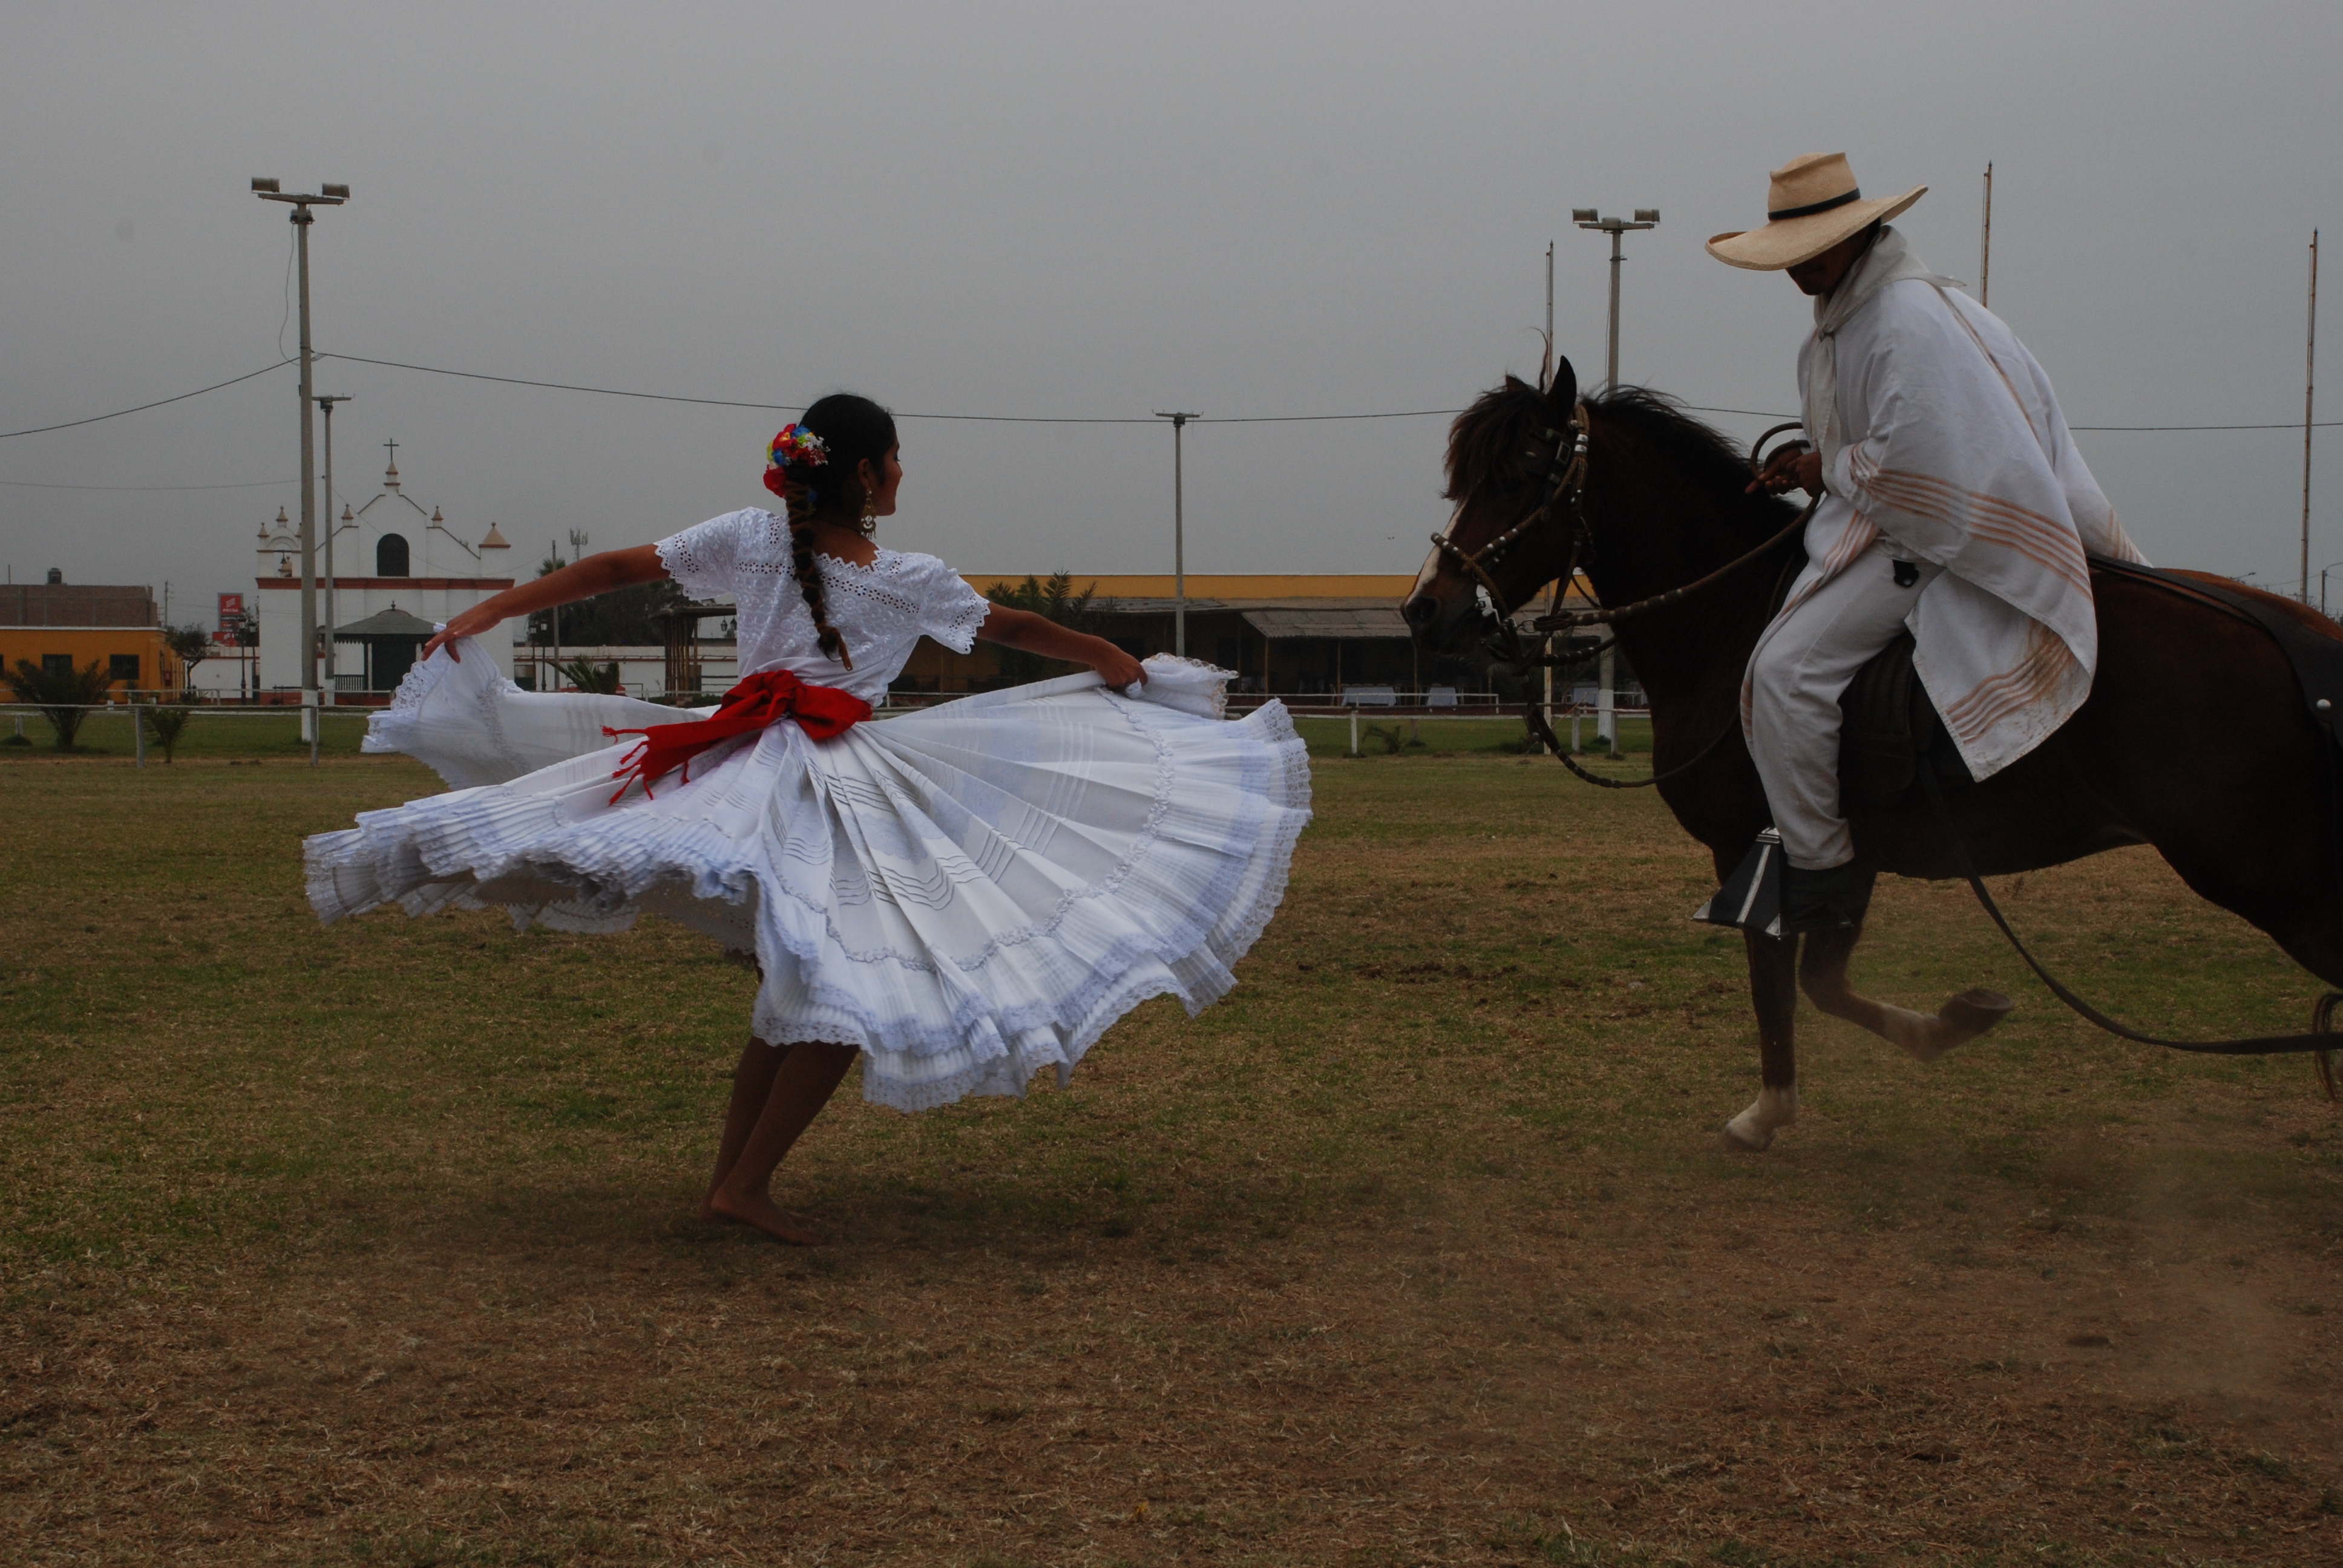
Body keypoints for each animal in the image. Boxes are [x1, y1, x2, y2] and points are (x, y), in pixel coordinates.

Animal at [1396, 358, 2343, 1148]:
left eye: (1517, 476)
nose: (1425, 609)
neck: (1732, 617)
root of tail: (2307, 644)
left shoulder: (1758, 846)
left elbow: (1778, 980)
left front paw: (1769, 1111)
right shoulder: (1840, 852)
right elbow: (1824, 981)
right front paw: (1953, 1021)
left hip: (2269, 877)